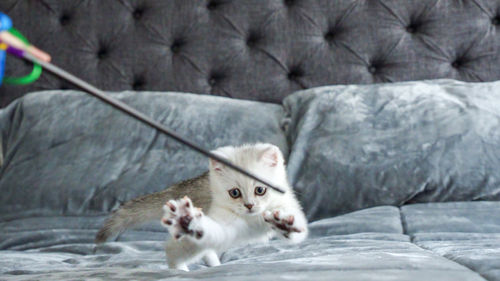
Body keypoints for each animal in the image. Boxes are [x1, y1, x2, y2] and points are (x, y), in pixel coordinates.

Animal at [95, 143, 306, 270]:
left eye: (260, 189)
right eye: (234, 193)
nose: (249, 205)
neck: (252, 220)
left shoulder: (288, 205)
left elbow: (298, 230)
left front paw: (284, 223)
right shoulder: (222, 222)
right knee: (173, 250)